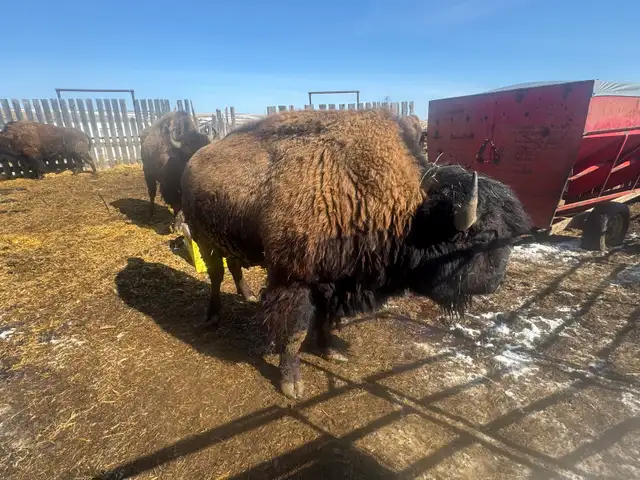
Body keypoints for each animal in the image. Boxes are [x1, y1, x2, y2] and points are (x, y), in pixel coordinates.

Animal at [181, 109, 531, 399]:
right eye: (481, 236)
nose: (495, 282)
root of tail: (194, 158)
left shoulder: (334, 280)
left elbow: (325, 318)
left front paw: (331, 352)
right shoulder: (294, 280)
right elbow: (295, 331)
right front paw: (292, 384)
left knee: (233, 266)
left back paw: (247, 294)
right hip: (202, 237)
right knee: (216, 273)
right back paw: (212, 316)